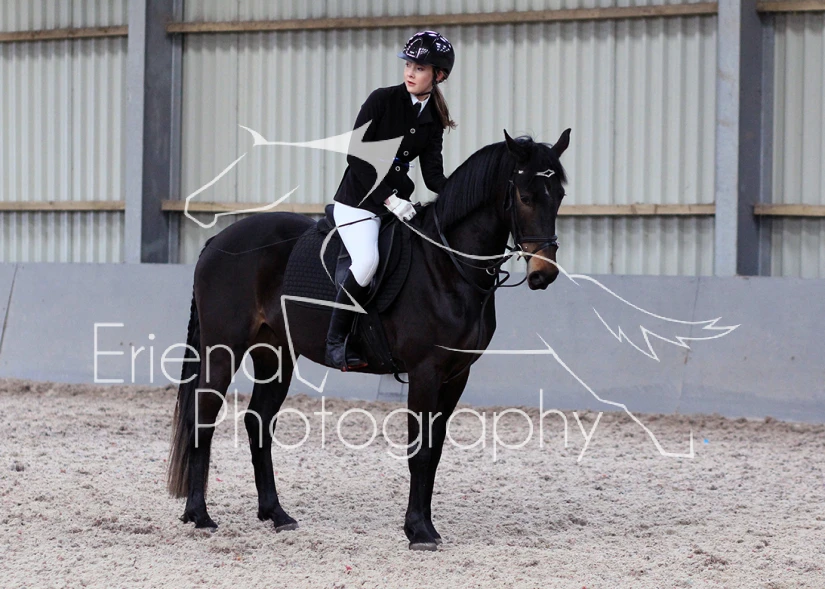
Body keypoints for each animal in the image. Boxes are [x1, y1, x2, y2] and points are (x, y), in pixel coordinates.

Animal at [166, 129, 571, 551]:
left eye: (558, 194)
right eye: (524, 196)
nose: (544, 273)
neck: (447, 266)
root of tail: (217, 241)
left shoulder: (456, 375)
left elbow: (435, 450)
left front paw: (426, 526)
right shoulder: (425, 372)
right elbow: (419, 451)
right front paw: (418, 531)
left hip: (275, 353)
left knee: (259, 422)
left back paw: (275, 514)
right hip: (223, 349)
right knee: (203, 417)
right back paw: (200, 516)